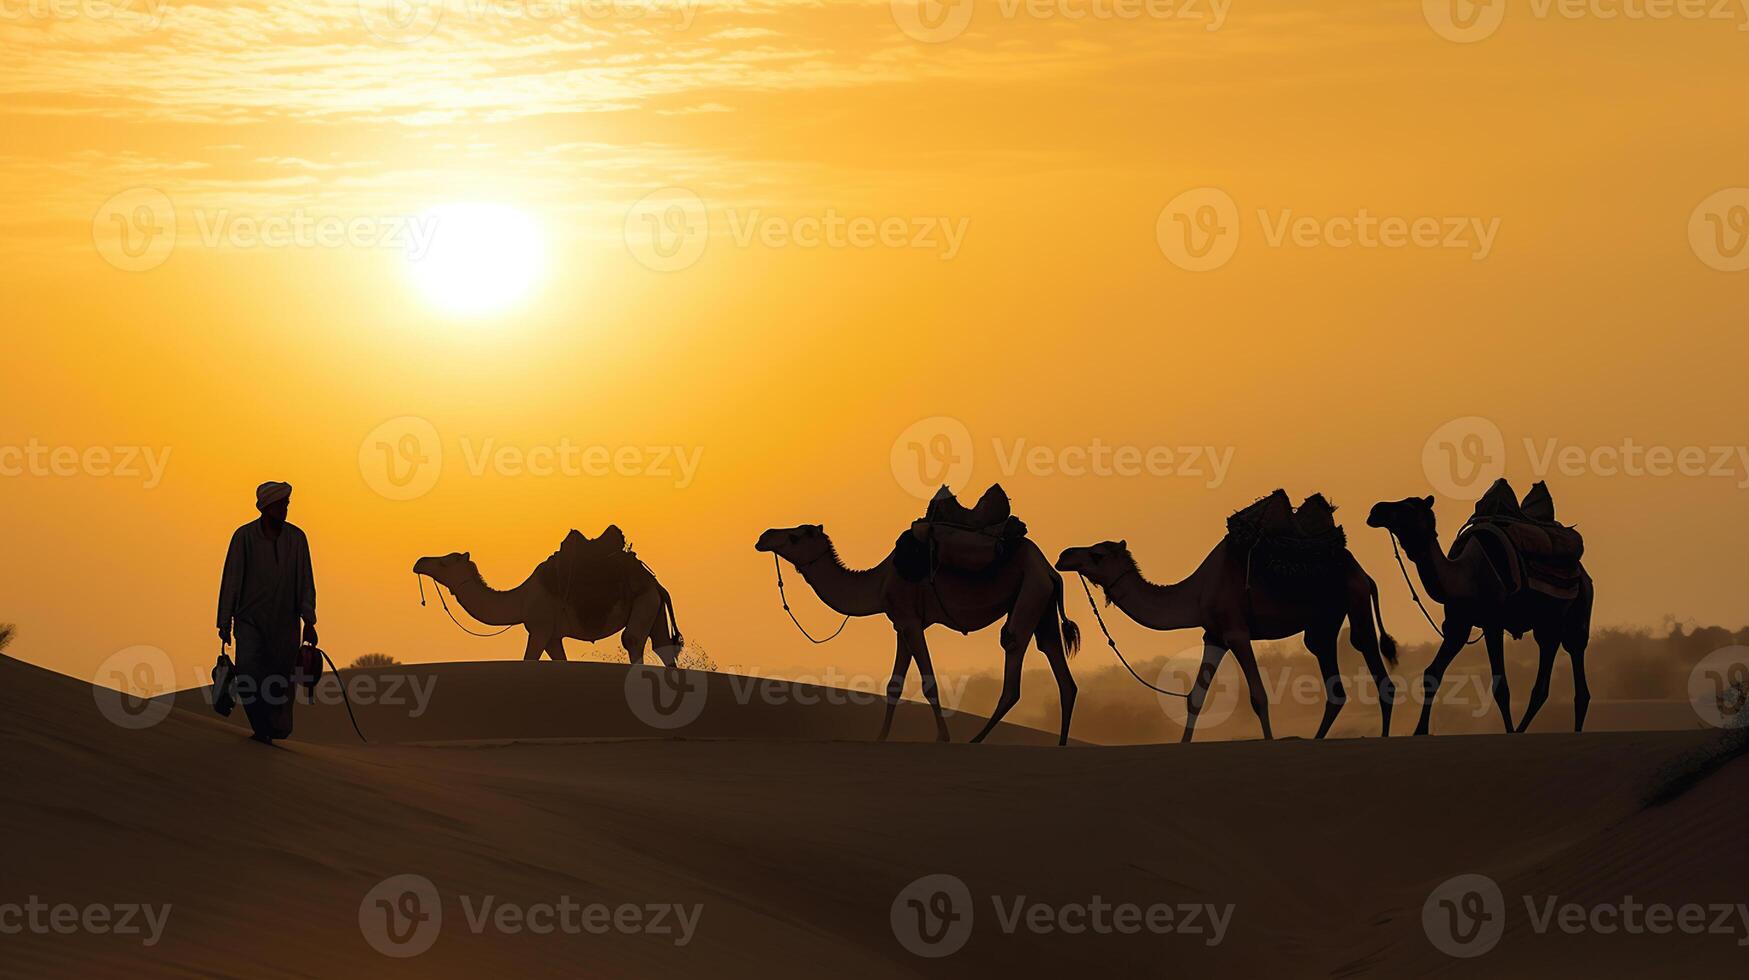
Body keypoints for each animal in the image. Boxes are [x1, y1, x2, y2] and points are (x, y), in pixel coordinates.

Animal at [412, 553, 678, 665]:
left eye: (444, 561)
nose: (419, 562)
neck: (521, 599)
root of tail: (655, 583)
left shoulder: (539, 628)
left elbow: (528, 659)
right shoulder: (552, 636)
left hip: (643, 600)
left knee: (631, 639)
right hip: (652, 606)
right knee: (663, 646)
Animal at [752, 528, 1077, 742]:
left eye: (795, 536)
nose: (763, 537)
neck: (879, 581)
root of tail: (1050, 570)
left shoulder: (911, 622)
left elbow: (928, 683)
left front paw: (943, 736)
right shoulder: (901, 624)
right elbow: (893, 685)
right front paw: (881, 736)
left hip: (1030, 591)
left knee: (1012, 651)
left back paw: (975, 739)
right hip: (1042, 603)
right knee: (1058, 665)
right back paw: (1060, 744)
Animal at [1042, 525, 1399, 738]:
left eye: (1096, 553)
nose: (1064, 555)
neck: (1198, 592)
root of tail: (1364, 573)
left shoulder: (1237, 632)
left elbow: (1258, 696)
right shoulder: (1213, 636)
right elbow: (1195, 699)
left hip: (1355, 602)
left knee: (1373, 661)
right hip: (1322, 624)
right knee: (1334, 685)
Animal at [1364, 497, 1602, 735]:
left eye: (1409, 507)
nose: (1376, 510)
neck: (1466, 576)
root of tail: (1583, 573)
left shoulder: (1492, 623)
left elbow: (1501, 687)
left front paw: (1508, 731)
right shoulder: (1458, 625)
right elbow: (1432, 673)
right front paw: (1419, 731)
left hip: (1572, 610)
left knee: (1572, 658)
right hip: (1547, 624)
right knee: (1548, 679)